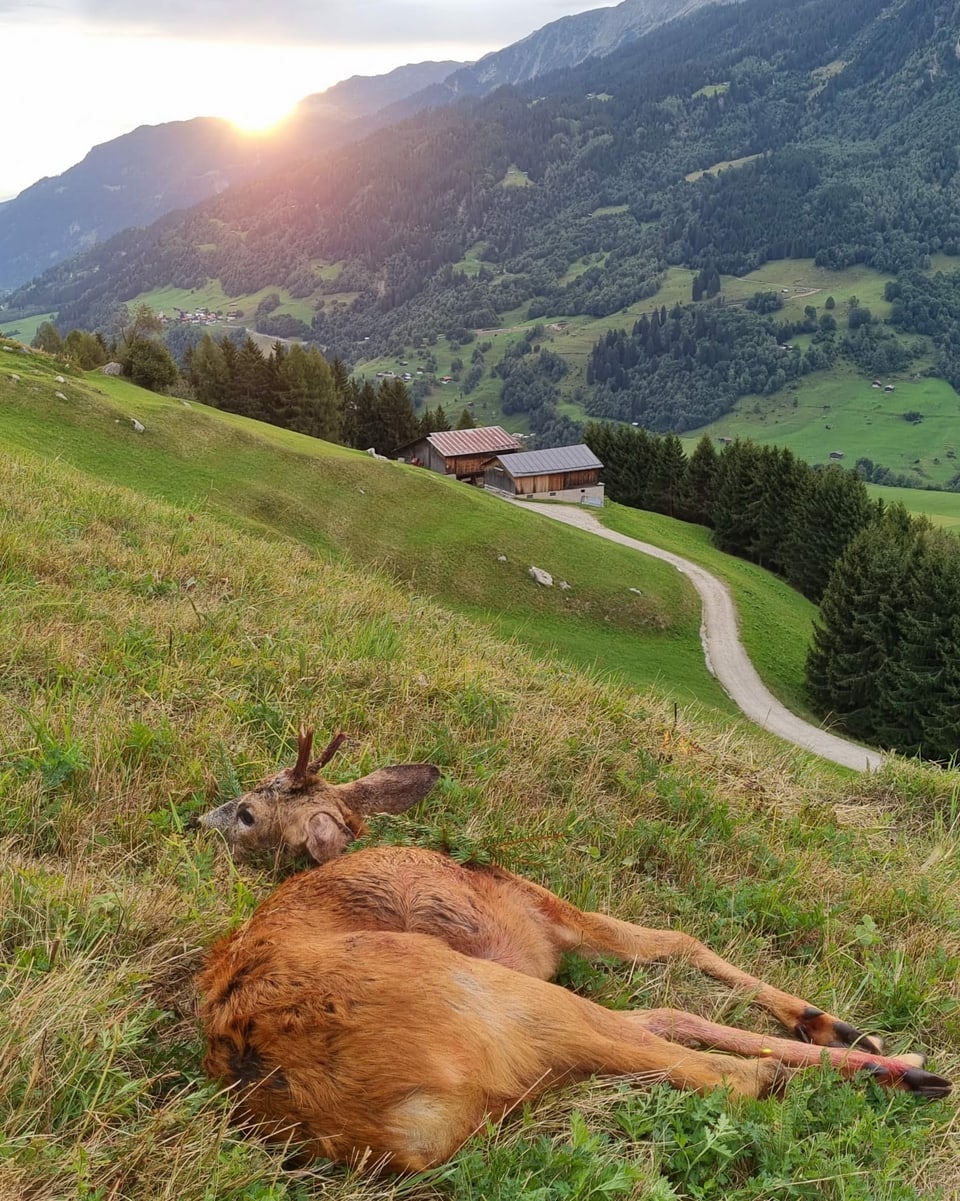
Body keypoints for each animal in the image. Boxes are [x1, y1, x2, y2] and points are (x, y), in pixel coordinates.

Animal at [197, 725, 951, 1167]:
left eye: (249, 810)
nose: (206, 817)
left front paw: (836, 1025)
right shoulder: (542, 912)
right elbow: (677, 942)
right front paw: (844, 1027)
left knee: (658, 1034)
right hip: (485, 991)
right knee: (717, 1071)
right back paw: (903, 1071)